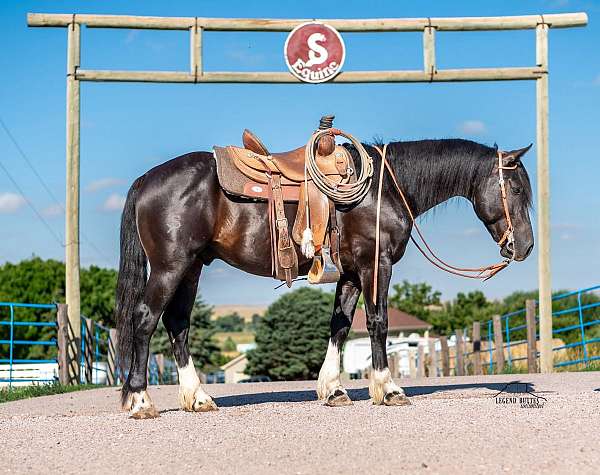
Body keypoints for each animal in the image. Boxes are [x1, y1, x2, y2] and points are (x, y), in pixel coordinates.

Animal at [116, 137, 536, 416]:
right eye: (515, 188)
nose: (526, 246)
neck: (384, 188)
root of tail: (145, 180)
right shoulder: (375, 264)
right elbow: (378, 322)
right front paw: (388, 389)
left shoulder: (349, 272)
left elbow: (341, 325)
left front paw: (333, 390)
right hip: (171, 267)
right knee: (146, 320)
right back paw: (140, 400)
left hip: (191, 268)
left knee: (177, 324)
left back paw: (198, 397)